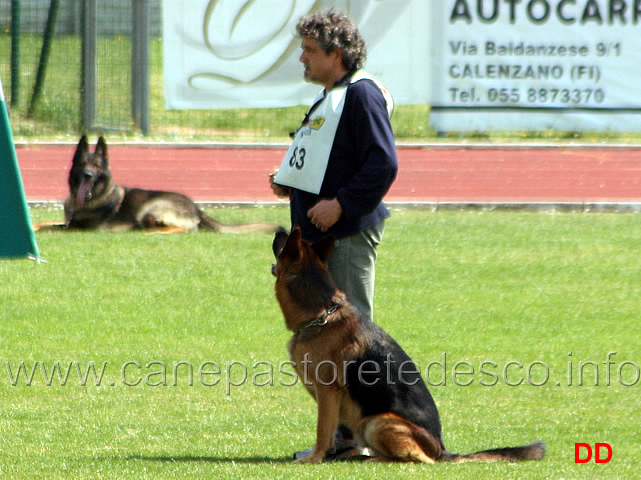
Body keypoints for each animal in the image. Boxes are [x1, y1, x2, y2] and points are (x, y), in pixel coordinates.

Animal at [35, 135, 282, 234]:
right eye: (83, 164)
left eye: (96, 166)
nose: (87, 175)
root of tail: (196, 207)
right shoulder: (68, 222)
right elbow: (44, 222)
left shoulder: (76, 228)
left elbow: (50, 228)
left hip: (150, 209)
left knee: (182, 230)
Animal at [270, 227, 544, 464]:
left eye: (284, 245)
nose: (279, 230)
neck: (322, 315)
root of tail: (442, 449)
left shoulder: (328, 392)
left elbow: (323, 431)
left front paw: (313, 458)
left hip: (378, 421)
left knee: (419, 459)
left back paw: (375, 458)